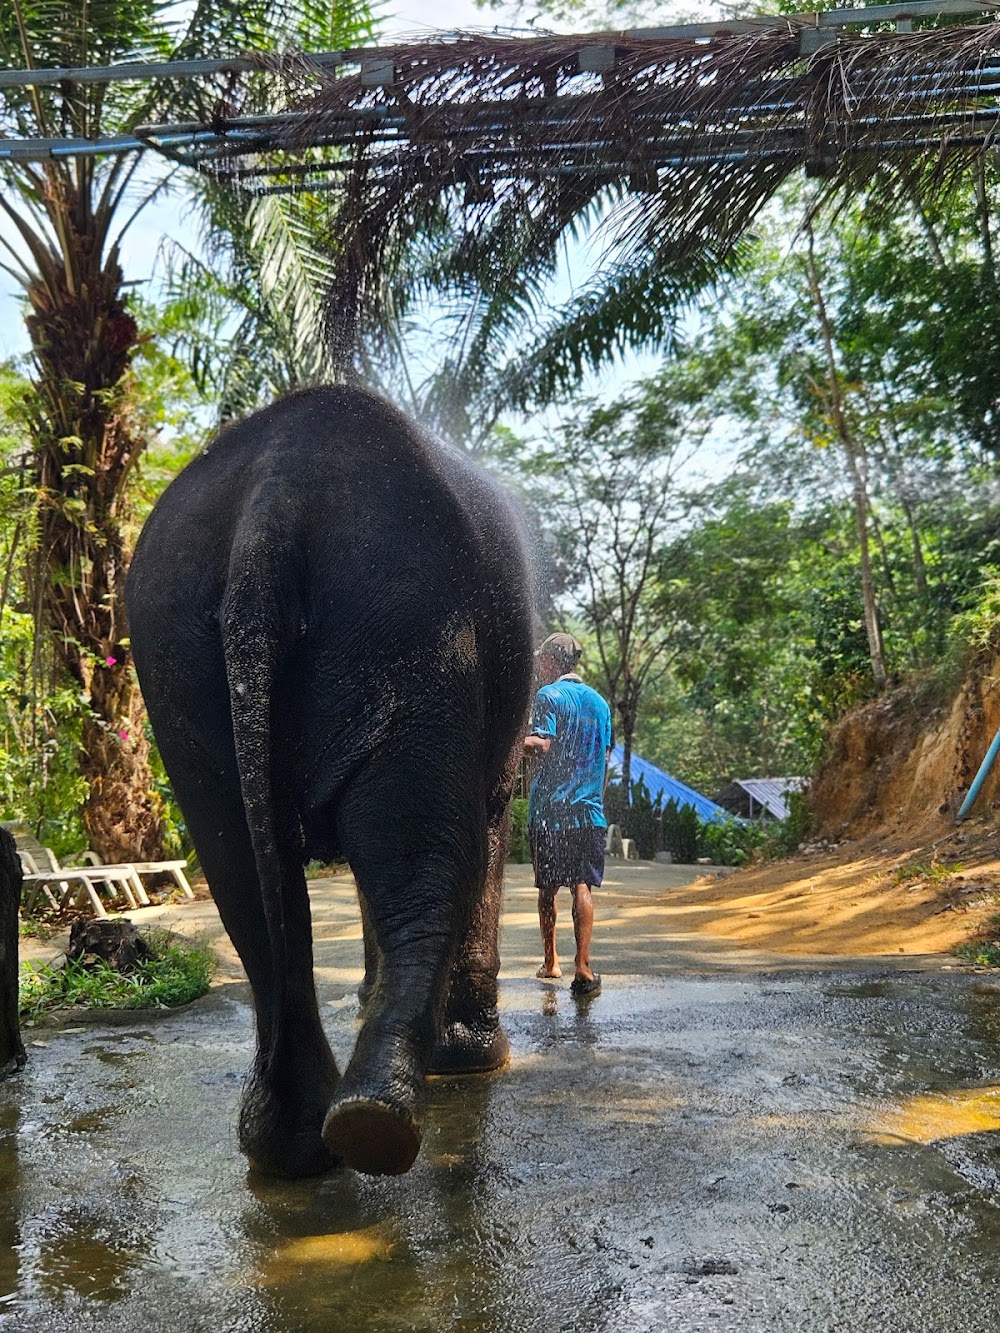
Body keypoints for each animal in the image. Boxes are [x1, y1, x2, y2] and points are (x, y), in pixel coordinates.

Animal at [127, 386, 541, 1178]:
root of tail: (275, 495)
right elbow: (487, 820)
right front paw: (475, 1062)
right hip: (409, 617)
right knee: (428, 850)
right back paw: (373, 1124)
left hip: (173, 647)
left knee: (236, 862)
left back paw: (294, 1144)